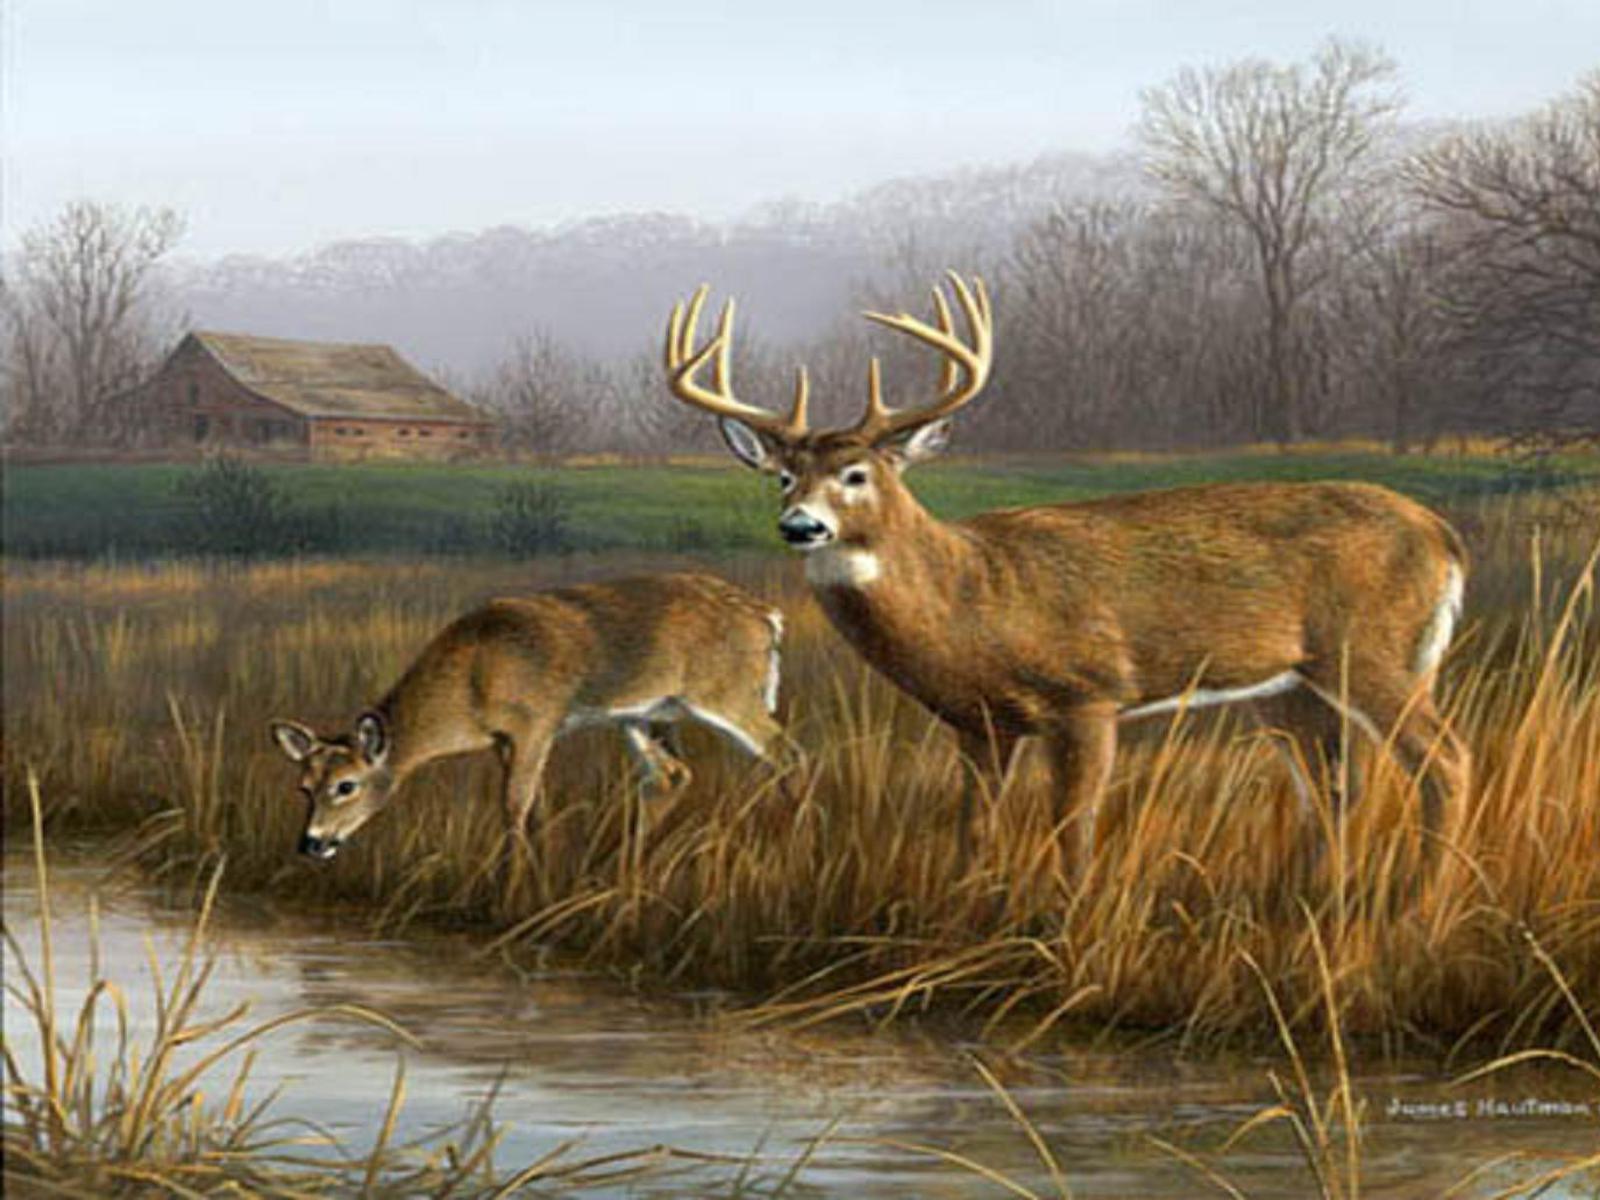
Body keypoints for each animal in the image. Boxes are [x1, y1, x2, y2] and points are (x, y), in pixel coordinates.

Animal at [269, 572, 788, 862]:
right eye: (303, 787)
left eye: (346, 786)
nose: (311, 843)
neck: (469, 686)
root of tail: (769, 617)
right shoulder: (507, 740)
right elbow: (535, 805)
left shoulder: (536, 722)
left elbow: (514, 806)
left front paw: (510, 886)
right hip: (646, 714)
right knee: (671, 775)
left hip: (729, 692)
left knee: (786, 752)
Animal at [661, 272, 1471, 878]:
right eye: (783, 477)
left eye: (856, 474)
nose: (801, 526)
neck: (973, 601)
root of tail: (1445, 536)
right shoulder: (979, 724)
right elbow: (975, 834)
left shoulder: (1090, 695)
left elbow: (1072, 835)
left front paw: (1063, 929)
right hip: (1290, 688)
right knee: (1338, 788)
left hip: (1373, 651)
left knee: (1444, 761)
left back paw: (1418, 905)